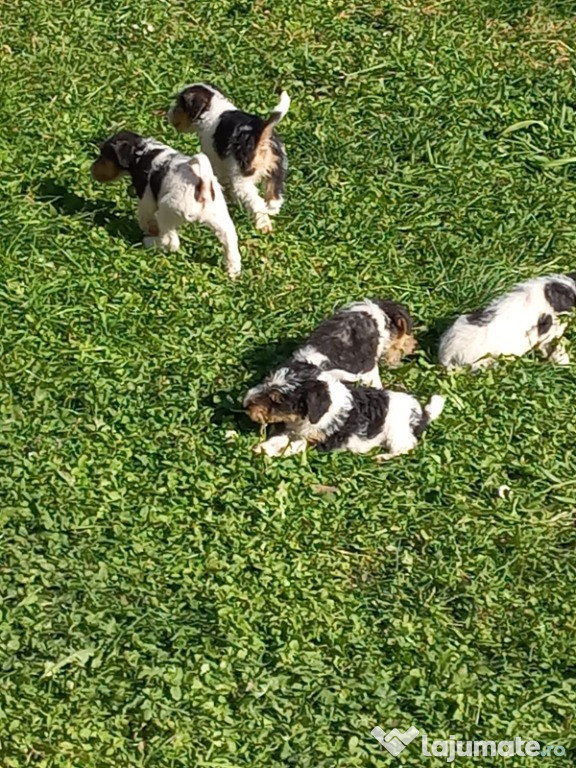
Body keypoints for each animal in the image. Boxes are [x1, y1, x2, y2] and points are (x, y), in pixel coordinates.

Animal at [169, 84, 290, 232]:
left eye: (179, 104)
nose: (168, 114)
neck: (213, 109)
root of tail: (259, 135)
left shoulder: (215, 161)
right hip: (276, 171)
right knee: (275, 199)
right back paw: (270, 212)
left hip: (242, 179)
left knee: (257, 203)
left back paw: (263, 226)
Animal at [245, 368, 444, 460]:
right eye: (267, 382)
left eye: (277, 400)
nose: (246, 405)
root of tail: (422, 413)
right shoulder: (294, 430)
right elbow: (281, 439)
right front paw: (262, 447)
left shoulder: (320, 441)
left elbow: (294, 445)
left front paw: (272, 453)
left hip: (398, 434)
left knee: (406, 448)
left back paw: (382, 457)